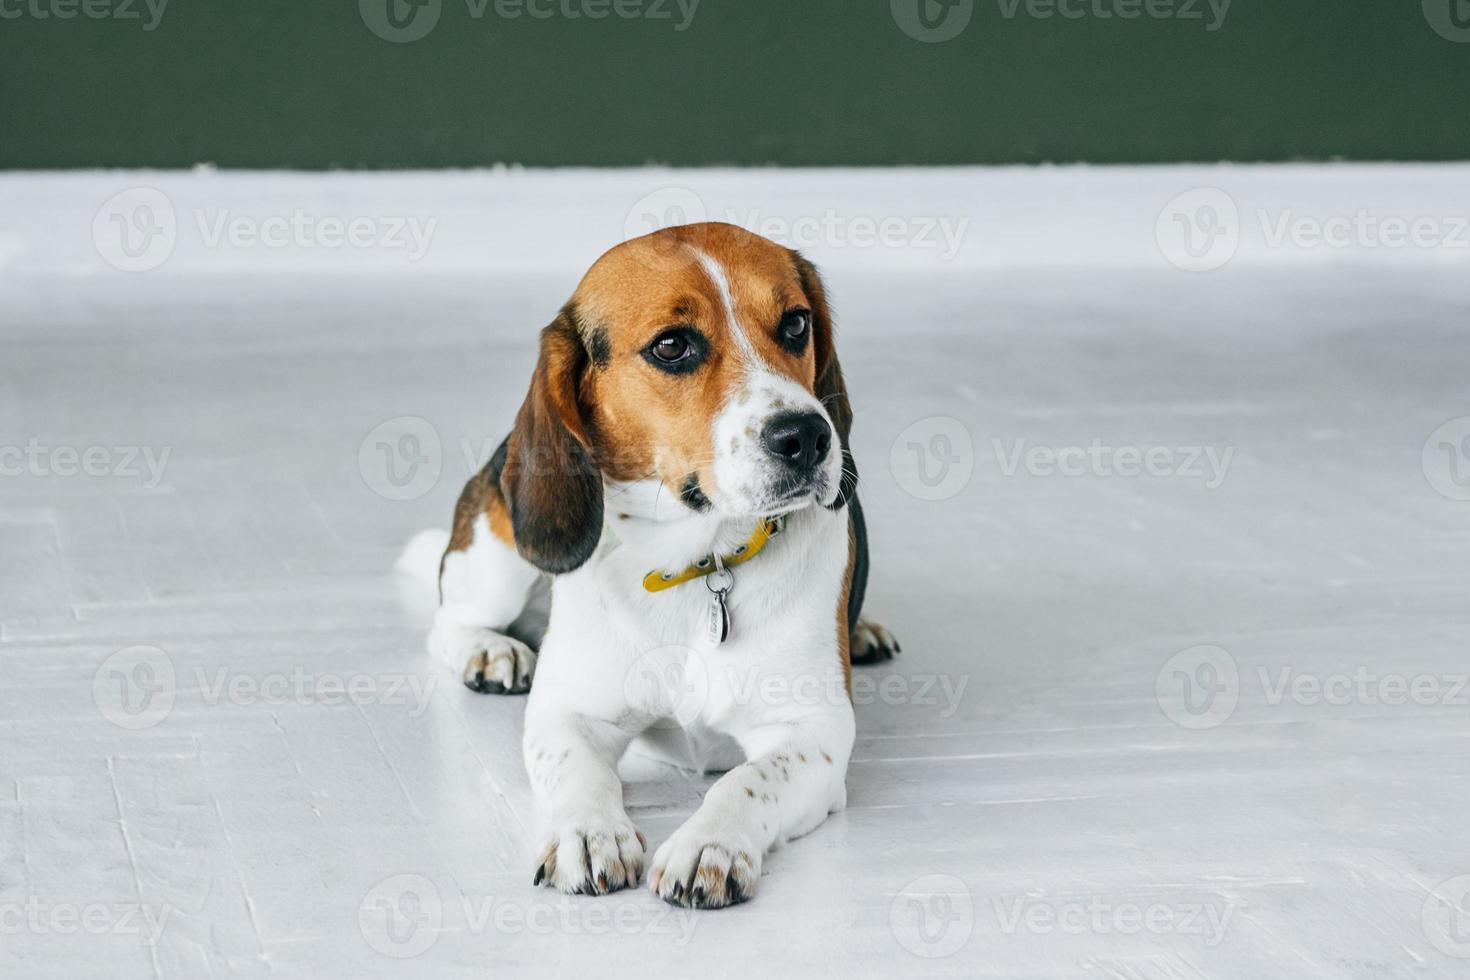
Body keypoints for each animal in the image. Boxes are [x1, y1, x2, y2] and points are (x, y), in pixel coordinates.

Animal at [420, 221, 887, 910]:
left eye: (796, 323)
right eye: (672, 346)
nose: (808, 435)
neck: (699, 564)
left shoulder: (815, 732)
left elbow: (744, 781)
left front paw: (709, 845)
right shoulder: (565, 712)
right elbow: (580, 772)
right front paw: (589, 833)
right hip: (499, 554)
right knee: (448, 620)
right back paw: (492, 650)